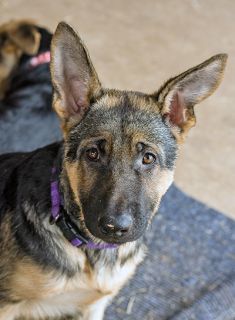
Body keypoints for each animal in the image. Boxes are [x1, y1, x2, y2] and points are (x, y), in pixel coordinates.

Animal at [0, 21, 228, 318]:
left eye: (148, 158)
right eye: (93, 154)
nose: (115, 228)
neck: (91, 251)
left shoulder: (94, 306)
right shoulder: (7, 305)